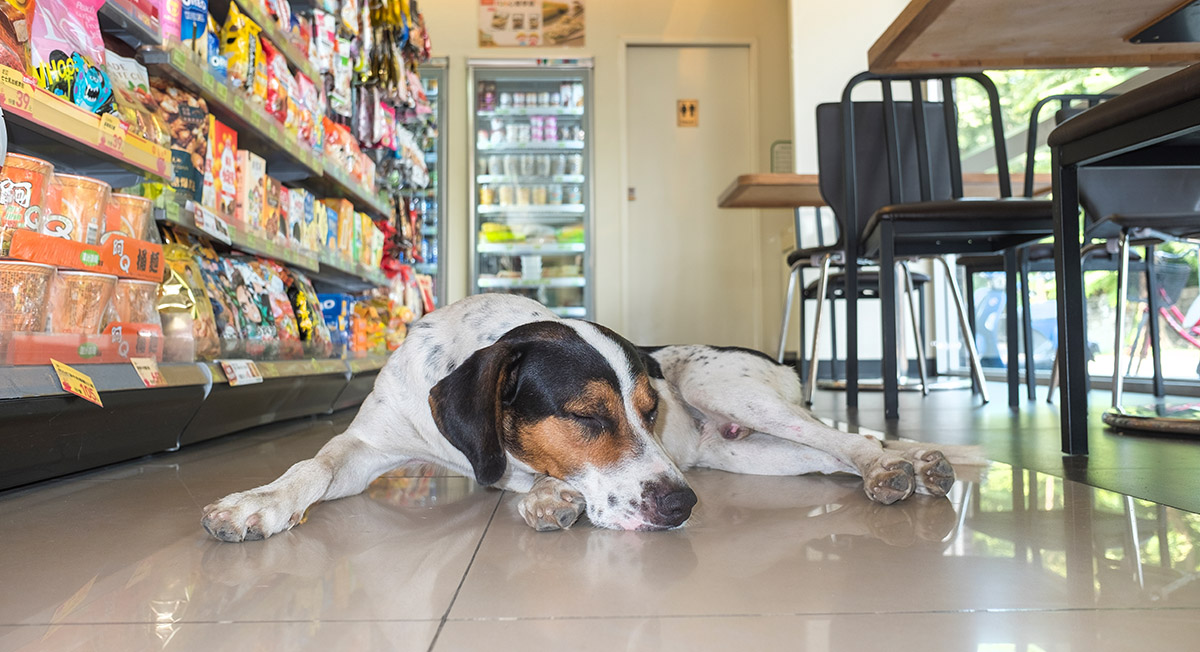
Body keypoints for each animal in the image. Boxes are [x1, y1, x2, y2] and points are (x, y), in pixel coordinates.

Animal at [206, 291, 955, 540]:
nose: (683, 505)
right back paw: (911, 466)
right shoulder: (367, 447)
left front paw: (545, 495)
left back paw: (899, 465)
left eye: (650, 412)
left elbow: (525, 476)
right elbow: (313, 463)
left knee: (844, 437)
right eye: (589, 418)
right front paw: (256, 502)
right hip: (746, 452)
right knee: (827, 453)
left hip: (727, 386)